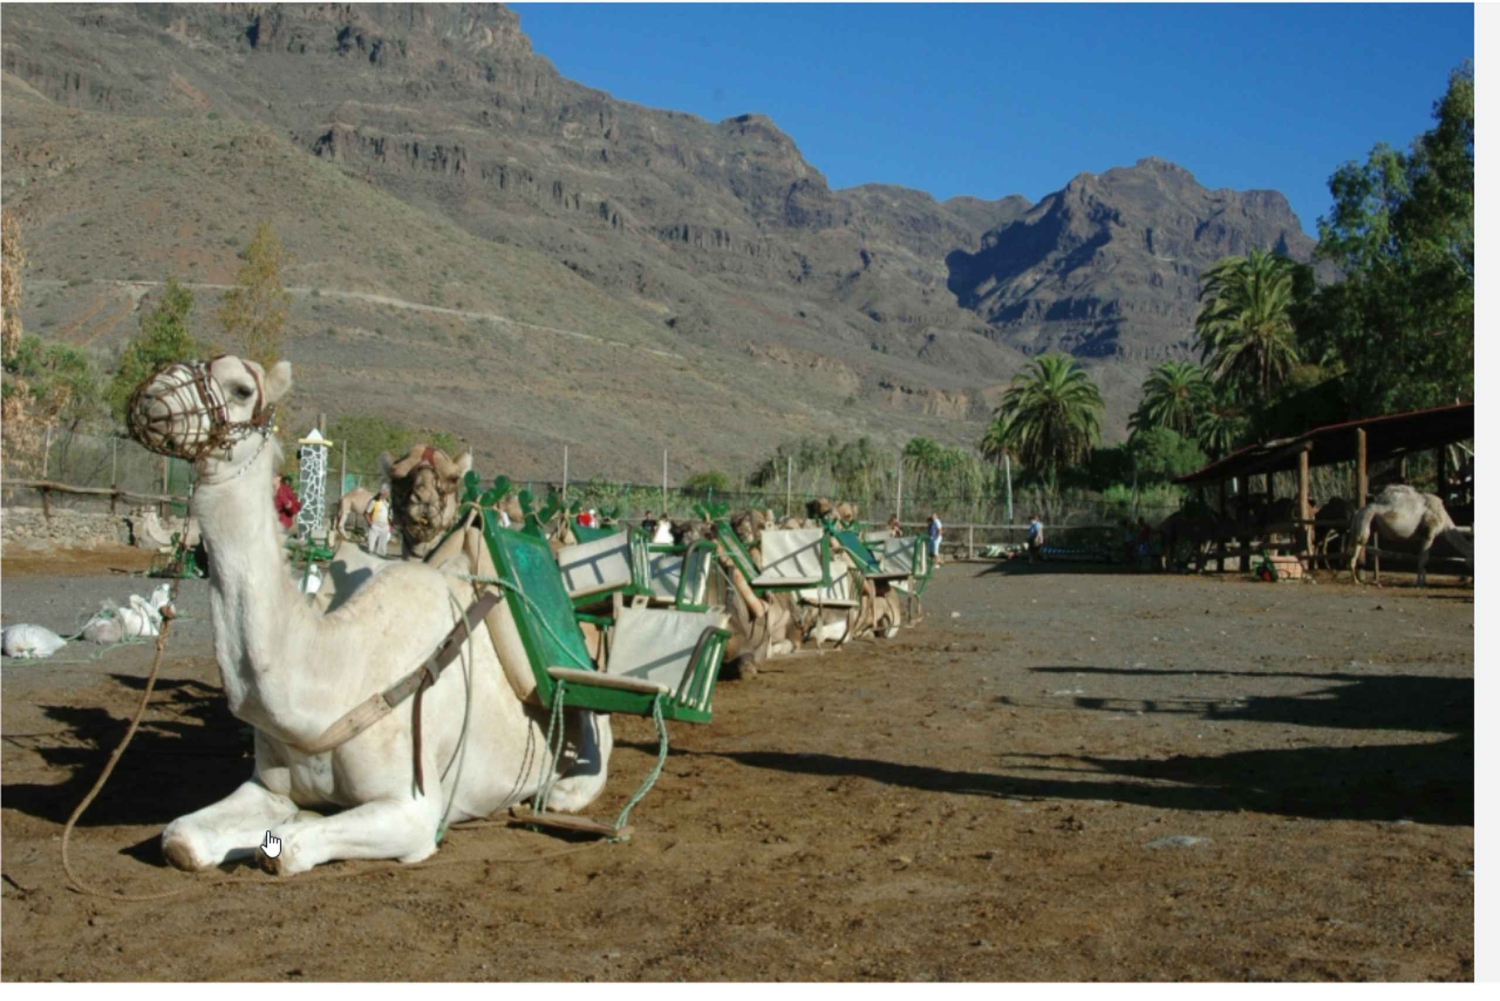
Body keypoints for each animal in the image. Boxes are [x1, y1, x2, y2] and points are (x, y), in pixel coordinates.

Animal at [132, 356, 612, 876]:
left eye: (241, 388)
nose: (151, 398)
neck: (334, 684)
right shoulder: (267, 786)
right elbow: (182, 837)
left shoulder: (412, 806)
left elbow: (287, 849)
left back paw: (560, 792)